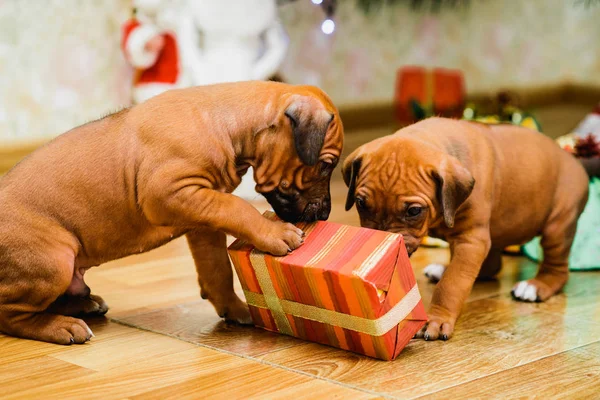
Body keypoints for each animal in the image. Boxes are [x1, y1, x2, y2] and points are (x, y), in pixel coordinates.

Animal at [0, 81, 342, 344]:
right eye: (326, 165)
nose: (326, 214)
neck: (224, 123)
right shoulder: (169, 192)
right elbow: (240, 207)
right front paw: (276, 234)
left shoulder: (205, 214)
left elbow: (217, 267)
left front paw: (233, 307)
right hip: (55, 261)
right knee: (11, 314)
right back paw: (60, 326)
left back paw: (84, 304)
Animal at [344, 117, 588, 342]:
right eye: (361, 203)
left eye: (414, 211)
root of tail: (573, 160)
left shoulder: (471, 240)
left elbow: (452, 283)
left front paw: (437, 319)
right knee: (490, 265)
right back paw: (442, 269)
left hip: (557, 226)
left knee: (558, 268)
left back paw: (536, 286)